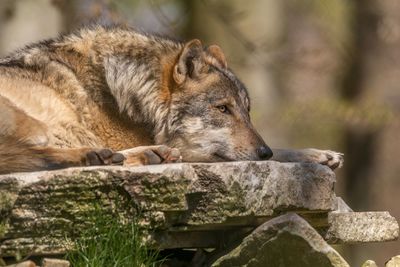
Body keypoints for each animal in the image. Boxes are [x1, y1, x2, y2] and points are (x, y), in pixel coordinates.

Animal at [0, 26, 342, 175]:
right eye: (222, 109)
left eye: (247, 111)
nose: (263, 152)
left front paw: (319, 155)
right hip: (38, 125)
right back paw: (107, 155)